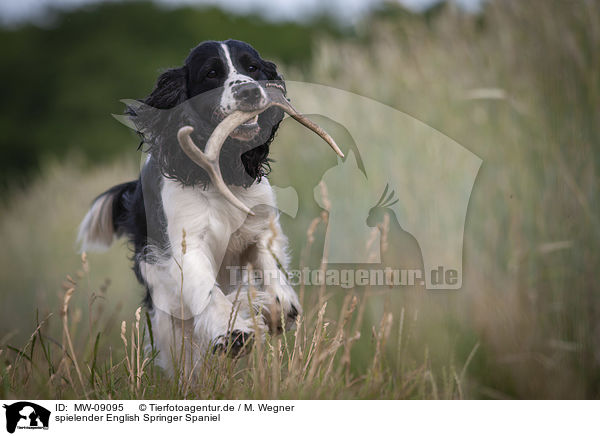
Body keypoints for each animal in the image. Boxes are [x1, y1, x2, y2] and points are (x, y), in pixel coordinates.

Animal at [79, 41, 304, 372]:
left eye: (252, 67)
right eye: (211, 73)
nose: (249, 92)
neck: (221, 169)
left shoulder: (259, 225)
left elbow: (270, 263)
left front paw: (279, 308)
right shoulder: (188, 244)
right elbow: (206, 289)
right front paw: (232, 334)